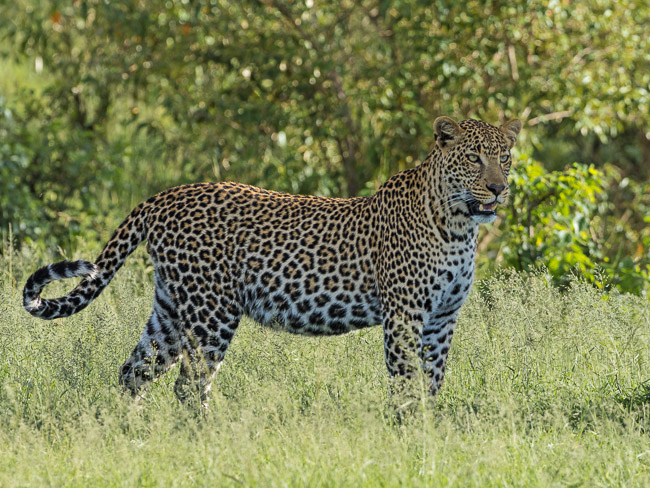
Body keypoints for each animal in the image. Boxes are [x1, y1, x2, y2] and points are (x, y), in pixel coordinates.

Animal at [23, 116, 522, 406]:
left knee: (135, 372)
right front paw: (408, 437)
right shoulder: (404, 316)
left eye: (504, 158)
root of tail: (165, 195)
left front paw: (432, 433)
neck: (458, 226)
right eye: (474, 158)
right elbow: (405, 384)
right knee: (190, 386)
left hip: (170, 309)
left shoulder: (442, 319)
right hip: (212, 312)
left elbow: (432, 383)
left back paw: (131, 436)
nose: (498, 189)